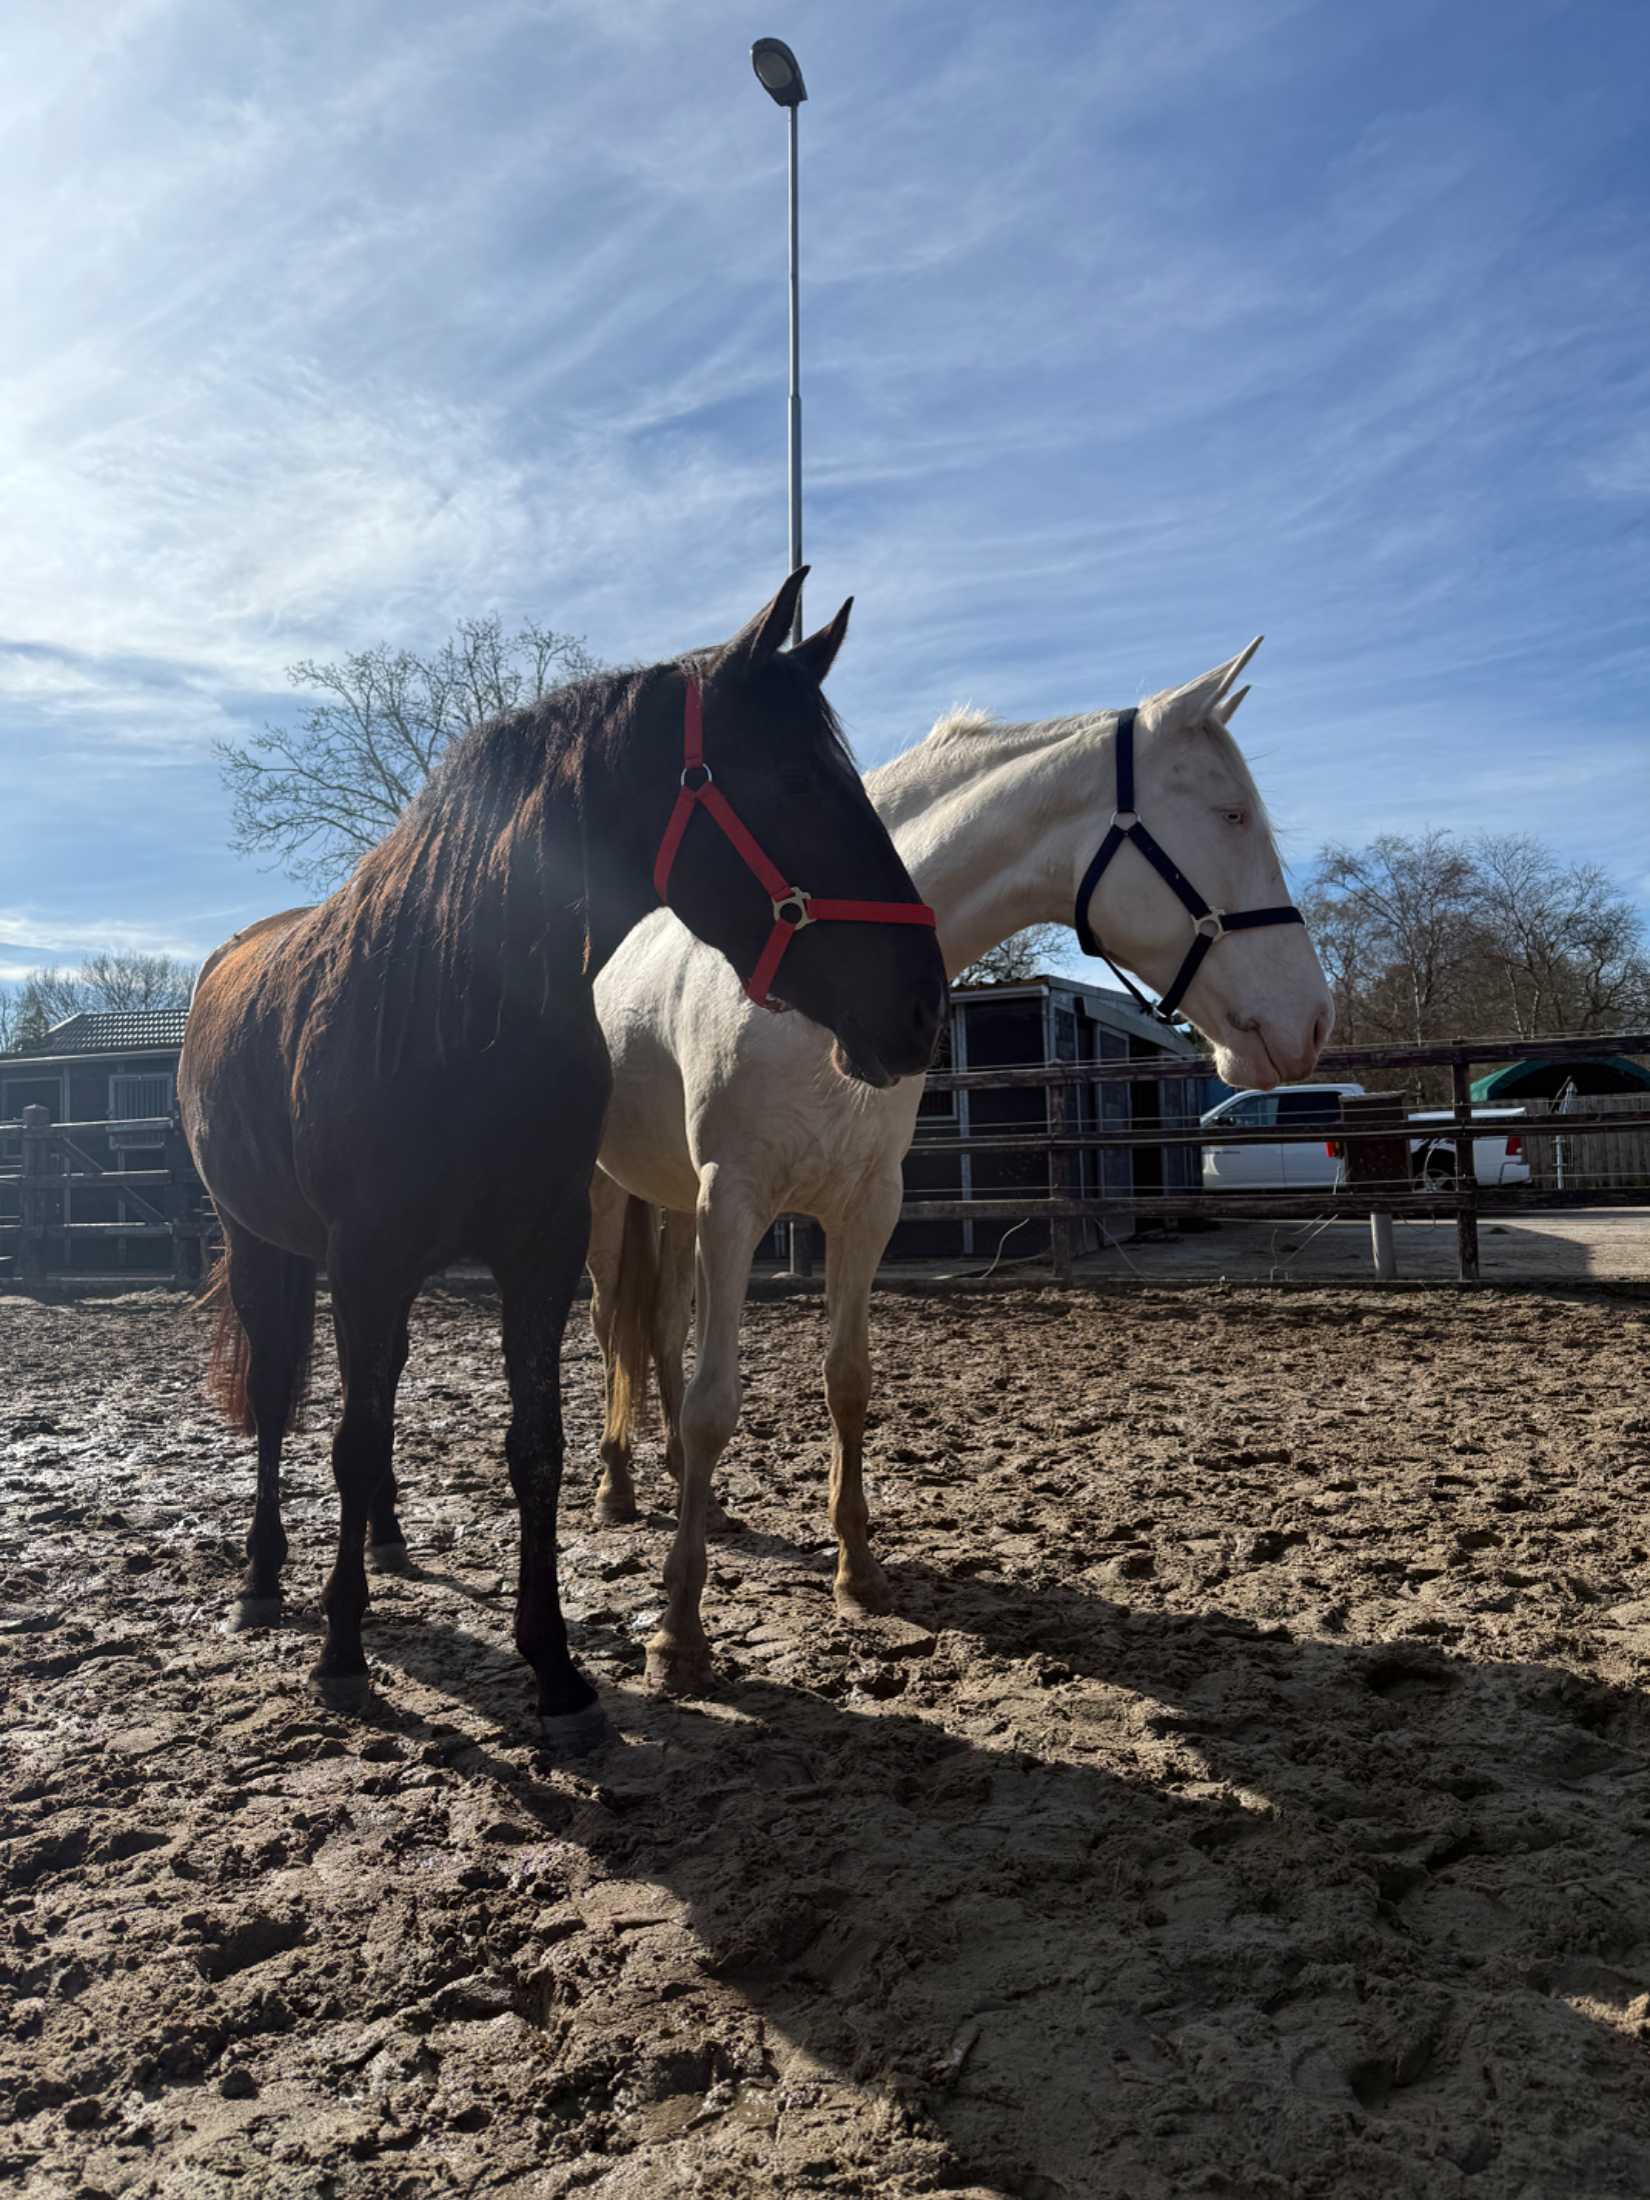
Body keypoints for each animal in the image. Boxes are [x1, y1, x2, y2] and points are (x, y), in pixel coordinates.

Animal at [178, 573, 948, 1757]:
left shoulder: (536, 1248)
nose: (922, 1003)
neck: (454, 1006)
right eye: (795, 781)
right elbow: (345, 1437)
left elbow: (530, 1443)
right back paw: (266, 1580)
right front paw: (344, 1653)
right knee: (275, 1398)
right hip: (263, 1242)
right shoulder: (366, 1258)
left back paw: (390, 1540)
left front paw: (556, 1669)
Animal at [585, 641, 1334, 1697]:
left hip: (671, 1198)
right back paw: (613, 1487)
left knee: (649, 1331)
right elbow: (710, 1406)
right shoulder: (735, 1203)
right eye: (1230, 813)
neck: (814, 994)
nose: (1312, 1022)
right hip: (606, 1195)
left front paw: (858, 1570)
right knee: (610, 1322)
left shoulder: (866, 1206)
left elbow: (846, 1381)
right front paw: (679, 1631)